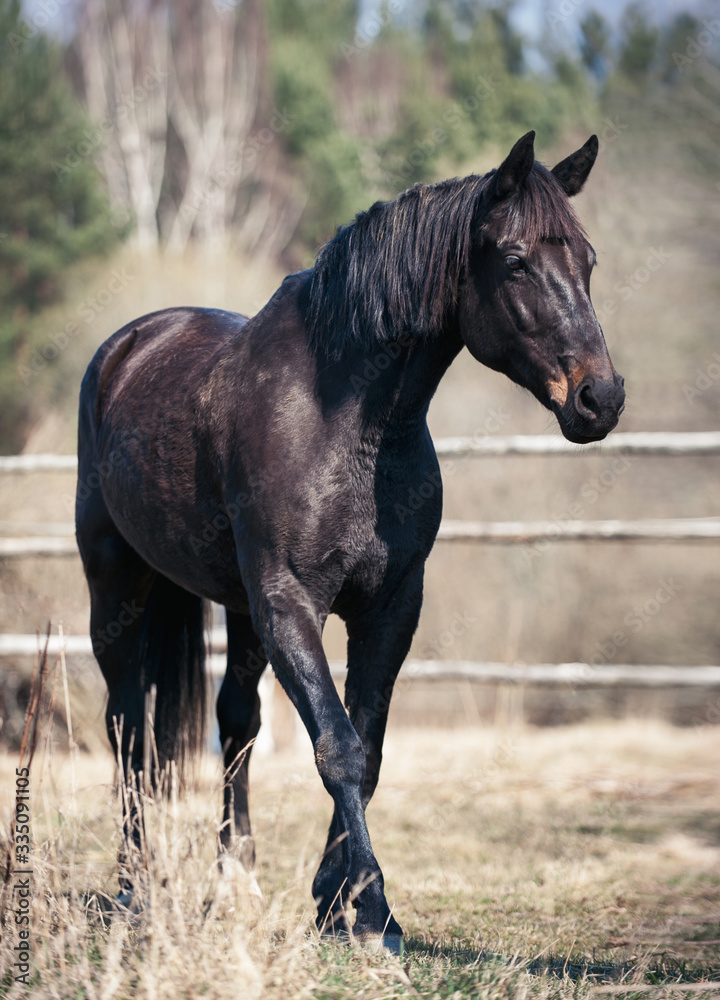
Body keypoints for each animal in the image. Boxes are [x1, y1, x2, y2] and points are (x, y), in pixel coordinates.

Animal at [75, 130, 625, 950]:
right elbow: (336, 744)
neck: (347, 424)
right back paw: (133, 890)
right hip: (117, 587)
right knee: (128, 731)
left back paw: (233, 886)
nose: (601, 398)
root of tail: (131, 343)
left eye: (587, 260)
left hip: (237, 610)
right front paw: (373, 913)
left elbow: (366, 750)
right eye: (516, 259)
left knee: (234, 724)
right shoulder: (290, 604)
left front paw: (336, 903)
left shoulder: (390, 608)